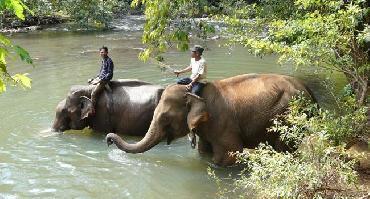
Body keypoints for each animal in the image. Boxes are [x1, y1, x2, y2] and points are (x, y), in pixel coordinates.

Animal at [105, 74, 316, 166]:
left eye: (165, 118)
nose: (108, 140)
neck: (196, 93)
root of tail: (308, 90)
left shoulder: (223, 123)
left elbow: (228, 154)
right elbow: (203, 151)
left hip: (288, 116)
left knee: (284, 147)